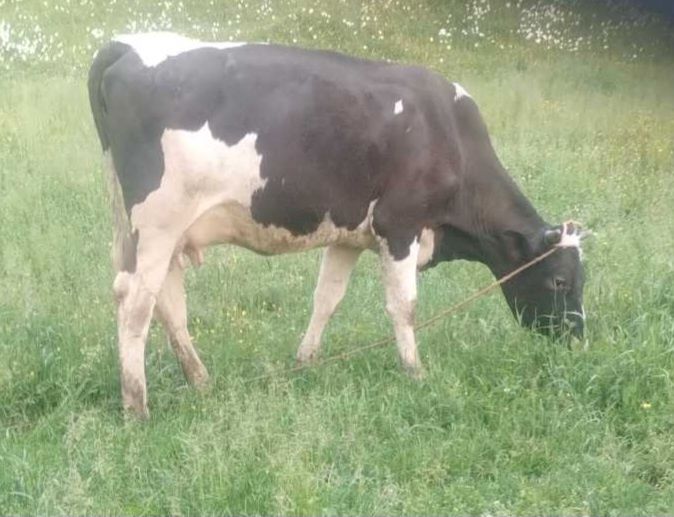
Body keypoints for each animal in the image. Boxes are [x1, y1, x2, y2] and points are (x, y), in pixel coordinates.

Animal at [88, 32, 586, 418]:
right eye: (560, 281)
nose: (578, 341)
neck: (451, 134)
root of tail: (124, 44)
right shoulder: (399, 225)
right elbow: (404, 307)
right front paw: (416, 373)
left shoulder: (349, 234)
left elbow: (326, 298)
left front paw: (306, 361)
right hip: (159, 220)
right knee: (135, 302)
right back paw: (137, 407)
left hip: (147, 227)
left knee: (167, 300)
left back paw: (200, 380)